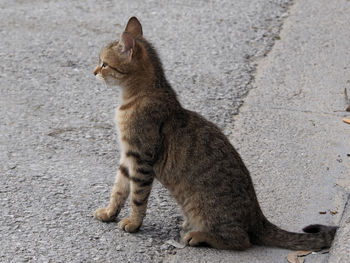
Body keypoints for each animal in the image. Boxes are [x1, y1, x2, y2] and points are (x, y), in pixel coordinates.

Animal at [92, 16, 336, 252]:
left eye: (104, 63)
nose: (94, 72)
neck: (138, 96)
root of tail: (258, 218)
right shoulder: (128, 157)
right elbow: (118, 189)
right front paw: (109, 212)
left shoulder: (141, 159)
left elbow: (137, 197)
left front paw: (133, 223)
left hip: (203, 208)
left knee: (241, 240)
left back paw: (198, 236)